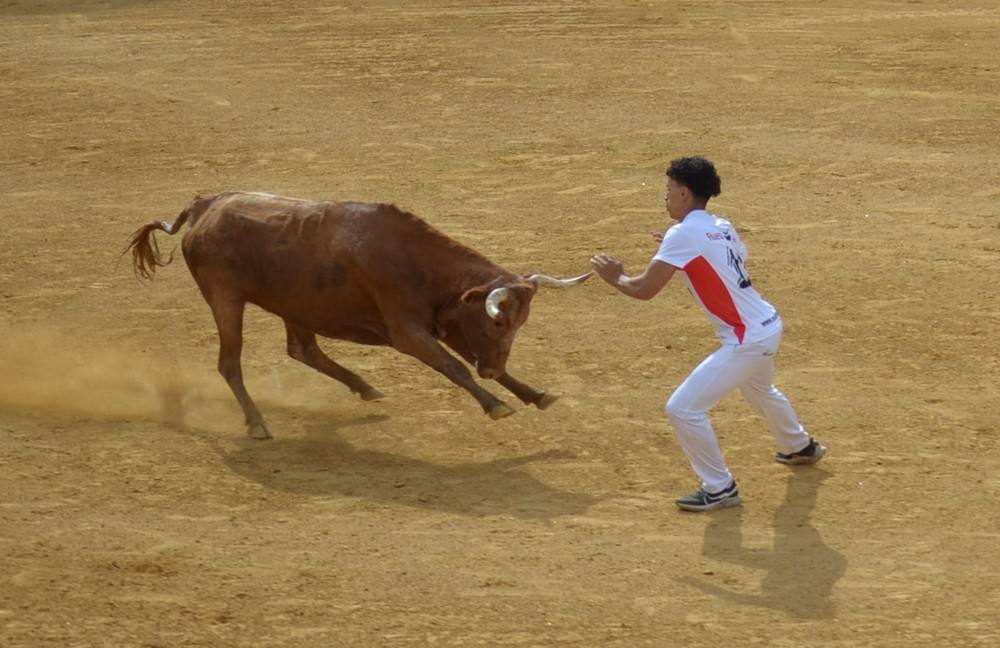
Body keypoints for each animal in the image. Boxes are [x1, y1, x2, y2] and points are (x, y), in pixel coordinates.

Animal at [126, 192, 591, 439]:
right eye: (498, 321)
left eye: (521, 323)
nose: (491, 372)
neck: (414, 260)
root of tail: (206, 205)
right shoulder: (408, 331)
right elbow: (454, 366)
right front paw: (496, 405)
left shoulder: (448, 321)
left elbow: (468, 362)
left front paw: (534, 394)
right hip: (225, 299)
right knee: (230, 362)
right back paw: (257, 423)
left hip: (295, 305)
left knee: (303, 350)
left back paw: (366, 388)